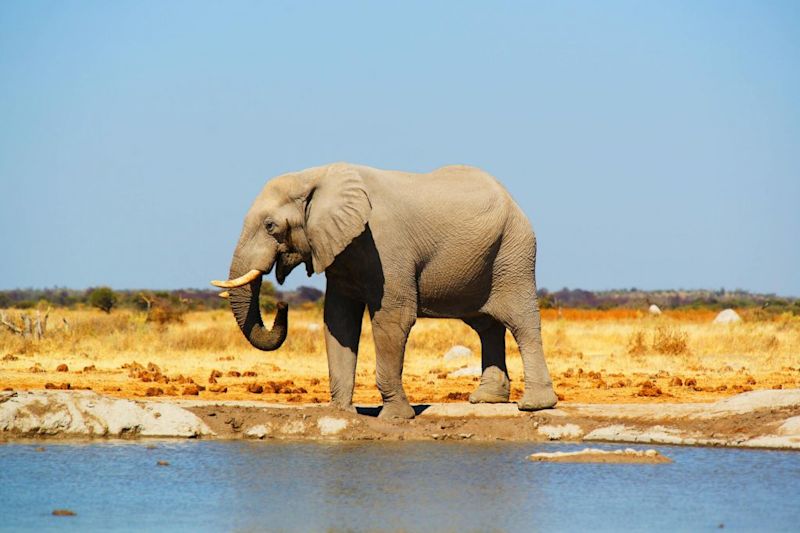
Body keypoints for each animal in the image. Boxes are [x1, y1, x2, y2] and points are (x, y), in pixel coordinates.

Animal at [212, 160, 556, 418]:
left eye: (270, 226)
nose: (283, 305)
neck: (316, 176)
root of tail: (512, 198)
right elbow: (339, 320)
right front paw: (342, 413)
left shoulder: (386, 246)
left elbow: (392, 319)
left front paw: (396, 417)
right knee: (486, 326)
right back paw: (486, 400)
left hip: (514, 253)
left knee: (522, 322)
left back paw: (534, 406)